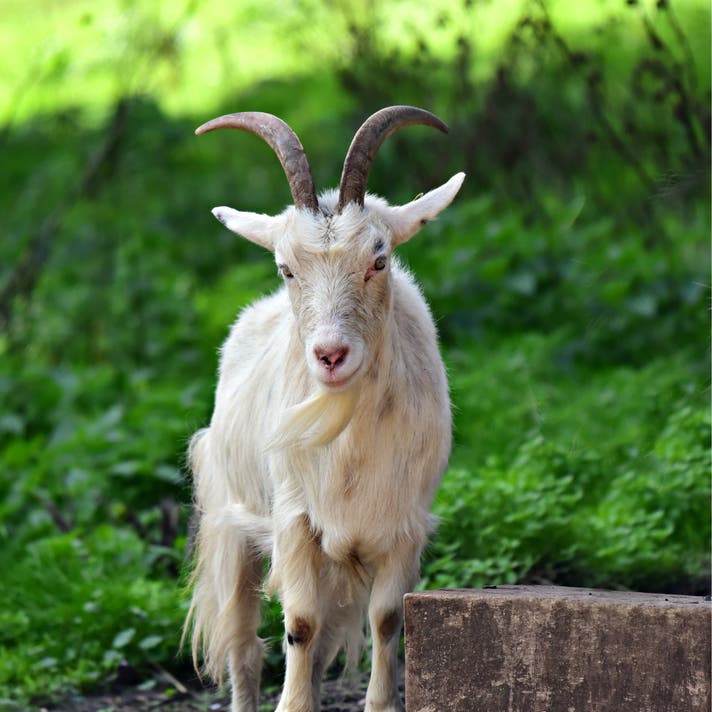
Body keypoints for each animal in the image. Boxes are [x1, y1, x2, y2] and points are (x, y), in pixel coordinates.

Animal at [185, 105, 465, 712]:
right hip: (232, 519)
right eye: (286, 268)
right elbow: (301, 624)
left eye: (379, 259)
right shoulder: (294, 520)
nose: (331, 356)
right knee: (244, 644)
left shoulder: (404, 526)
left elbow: (386, 620)